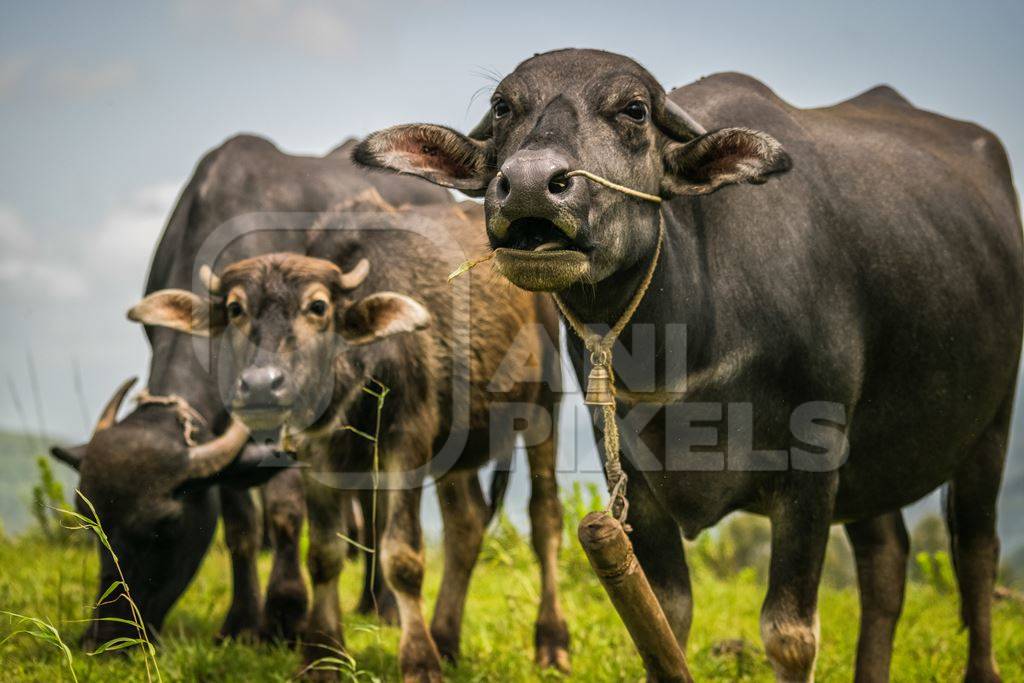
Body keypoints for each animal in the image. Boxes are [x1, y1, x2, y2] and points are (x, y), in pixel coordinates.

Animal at [48, 135, 448, 651]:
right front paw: (241, 621)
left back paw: (383, 607)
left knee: (378, 505)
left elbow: (283, 511)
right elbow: (240, 523)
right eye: (91, 523)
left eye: (164, 525)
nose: (109, 638)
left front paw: (286, 615)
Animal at [126, 194, 569, 679]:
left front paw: (419, 660)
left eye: (318, 307)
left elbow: (402, 557)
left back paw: (551, 643)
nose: (261, 385)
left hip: (545, 406)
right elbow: (324, 554)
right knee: (466, 523)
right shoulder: (316, 456)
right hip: (460, 446)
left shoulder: (406, 444)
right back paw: (447, 639)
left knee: (545, 518)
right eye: (236, 308)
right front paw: (321, 655)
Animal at [354, 49, 1024, 683]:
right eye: (502, 108)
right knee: (885, 560)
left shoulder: (813, 466)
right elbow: (666, 618)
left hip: (990, 427)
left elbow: (789, 634)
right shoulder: (634, 478)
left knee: (977, 550)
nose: (528, 184)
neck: (691, 346)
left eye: (633, 110)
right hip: (874, 464)